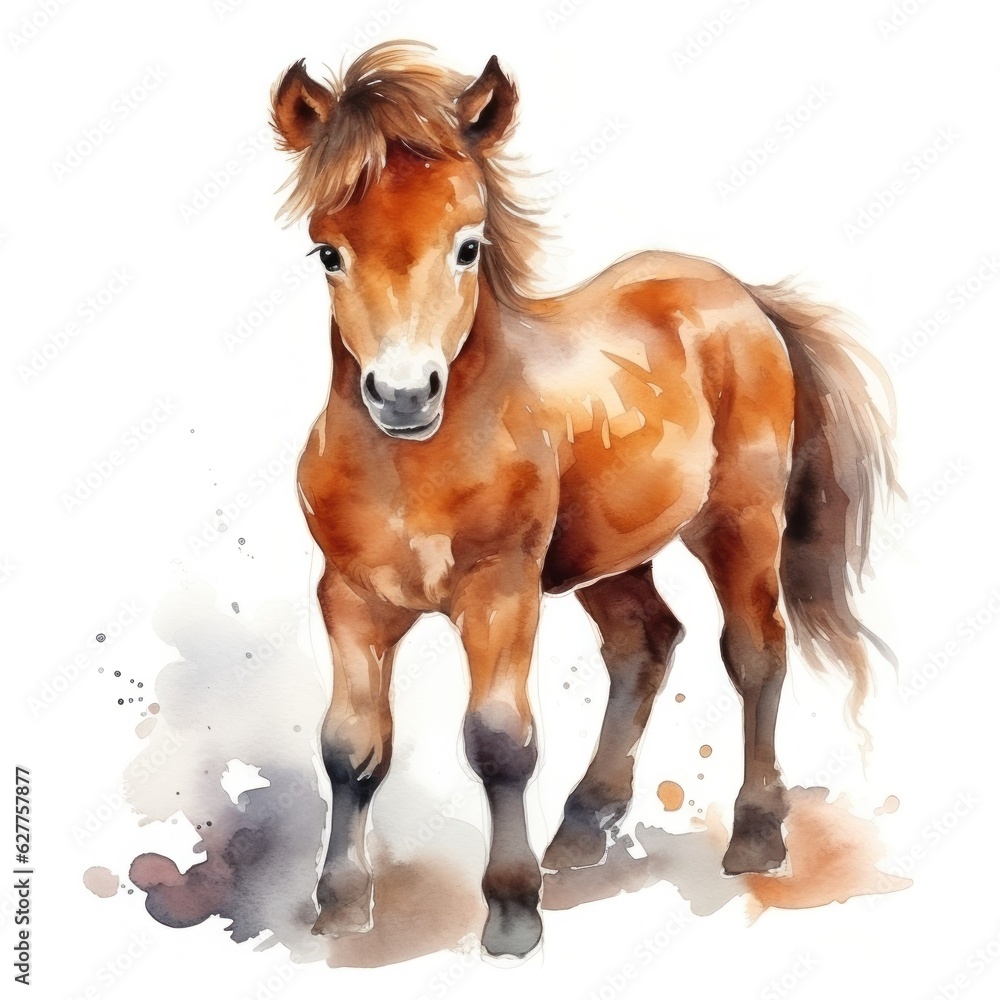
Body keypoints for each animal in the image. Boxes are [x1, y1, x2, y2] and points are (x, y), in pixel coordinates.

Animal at [270, 41, 897, 960]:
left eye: (467, 247)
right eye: (327, 253)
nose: (404, 394)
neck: (411, 467)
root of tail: (742, 294)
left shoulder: (502, 593)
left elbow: (498, 741)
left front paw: (510, 912)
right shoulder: (348, 598)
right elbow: (350, 747)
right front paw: (341, 908)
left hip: (737, 523)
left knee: (756, 653)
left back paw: (755, 834)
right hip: (611, 554)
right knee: (645, 644)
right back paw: (583, 824)